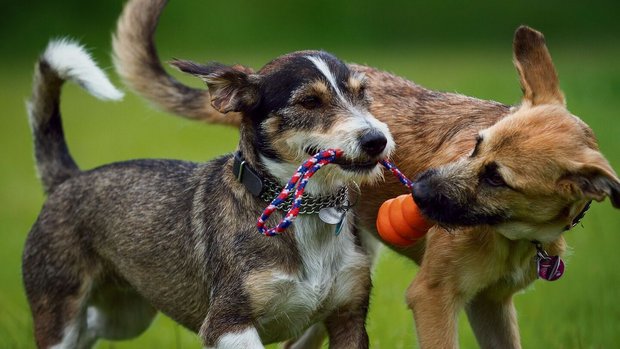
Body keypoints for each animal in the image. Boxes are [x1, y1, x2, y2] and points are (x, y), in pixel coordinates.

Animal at [112, 1, 620, 346]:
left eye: (498, 178)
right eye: (475, 144)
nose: (418, 189)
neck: (514, 235)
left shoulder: (492, 305)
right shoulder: (432, 296)